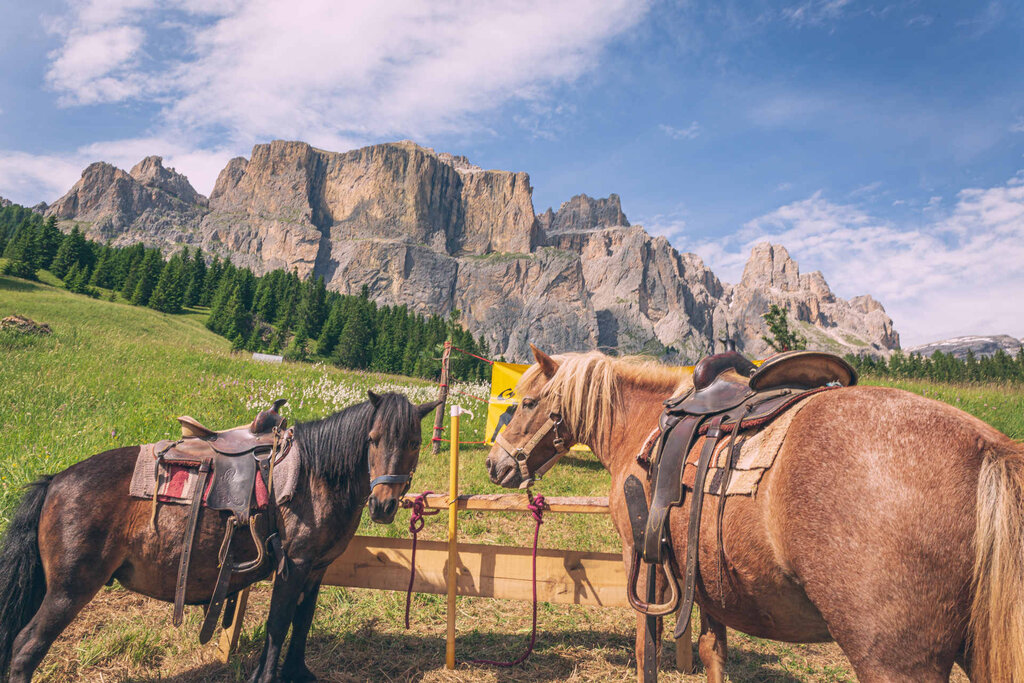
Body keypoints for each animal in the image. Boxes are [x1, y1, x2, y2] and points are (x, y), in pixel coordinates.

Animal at [0, 390, 441, 683]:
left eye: (415, 442)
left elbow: (302, 621)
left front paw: (297, 672)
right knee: (24, 649)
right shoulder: (293, 567)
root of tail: (56, 480)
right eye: (373, 440)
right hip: (68, 590)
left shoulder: (316, 570)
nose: (383, 505)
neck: (315, 477)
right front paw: (267, 677)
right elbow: (278, 625)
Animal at [485, 346, 1024, 682]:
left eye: (527, 402)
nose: (496, 464)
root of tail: (987, 447)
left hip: (894, 660)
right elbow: (712, 651)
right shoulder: (705, 578)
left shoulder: (640, 558)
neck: (640, 427)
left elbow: (645, 647)